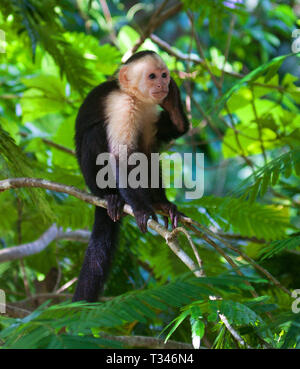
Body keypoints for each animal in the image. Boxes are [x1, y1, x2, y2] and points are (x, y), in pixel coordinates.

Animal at [73, 50, 188, 300]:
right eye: (152, 76)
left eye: (164, 75)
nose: (163, 84)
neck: (137, 98)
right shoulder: (122, 107)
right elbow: (122, 159)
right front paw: (142, 210)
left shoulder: (149, 111)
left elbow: (161, 140)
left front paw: (173, 99)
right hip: (91, 179)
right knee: (96, 134)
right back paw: (111, 197)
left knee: (148, 152)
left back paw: (160, 203)